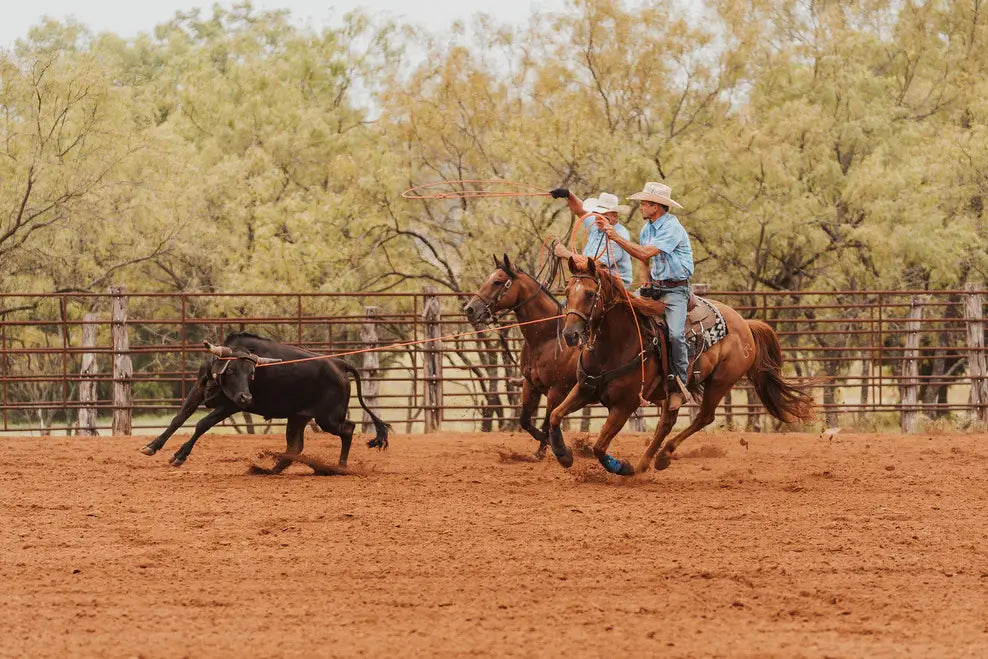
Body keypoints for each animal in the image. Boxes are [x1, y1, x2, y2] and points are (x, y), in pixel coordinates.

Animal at [466, 255, 580, 456]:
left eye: (497, 281)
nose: (470, 309)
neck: (549, 337)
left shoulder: (557, 391)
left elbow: (548, 421)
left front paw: (548, 446)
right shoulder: (530, 384)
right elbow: (525, 420)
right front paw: (541, 449)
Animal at [544, 256, 816, 474]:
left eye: (590, 294)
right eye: (567, 292)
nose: (570, 334)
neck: (614, 346)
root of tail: (745, 324)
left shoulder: (625, 405)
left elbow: (599, 447)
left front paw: (622, 467)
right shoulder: (585, 388)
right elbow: (556, 415)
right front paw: (563, 454)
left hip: (720, 382)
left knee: (703, 417)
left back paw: (661, 457)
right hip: (673, 390)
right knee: (667, 422)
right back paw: (646, 462)